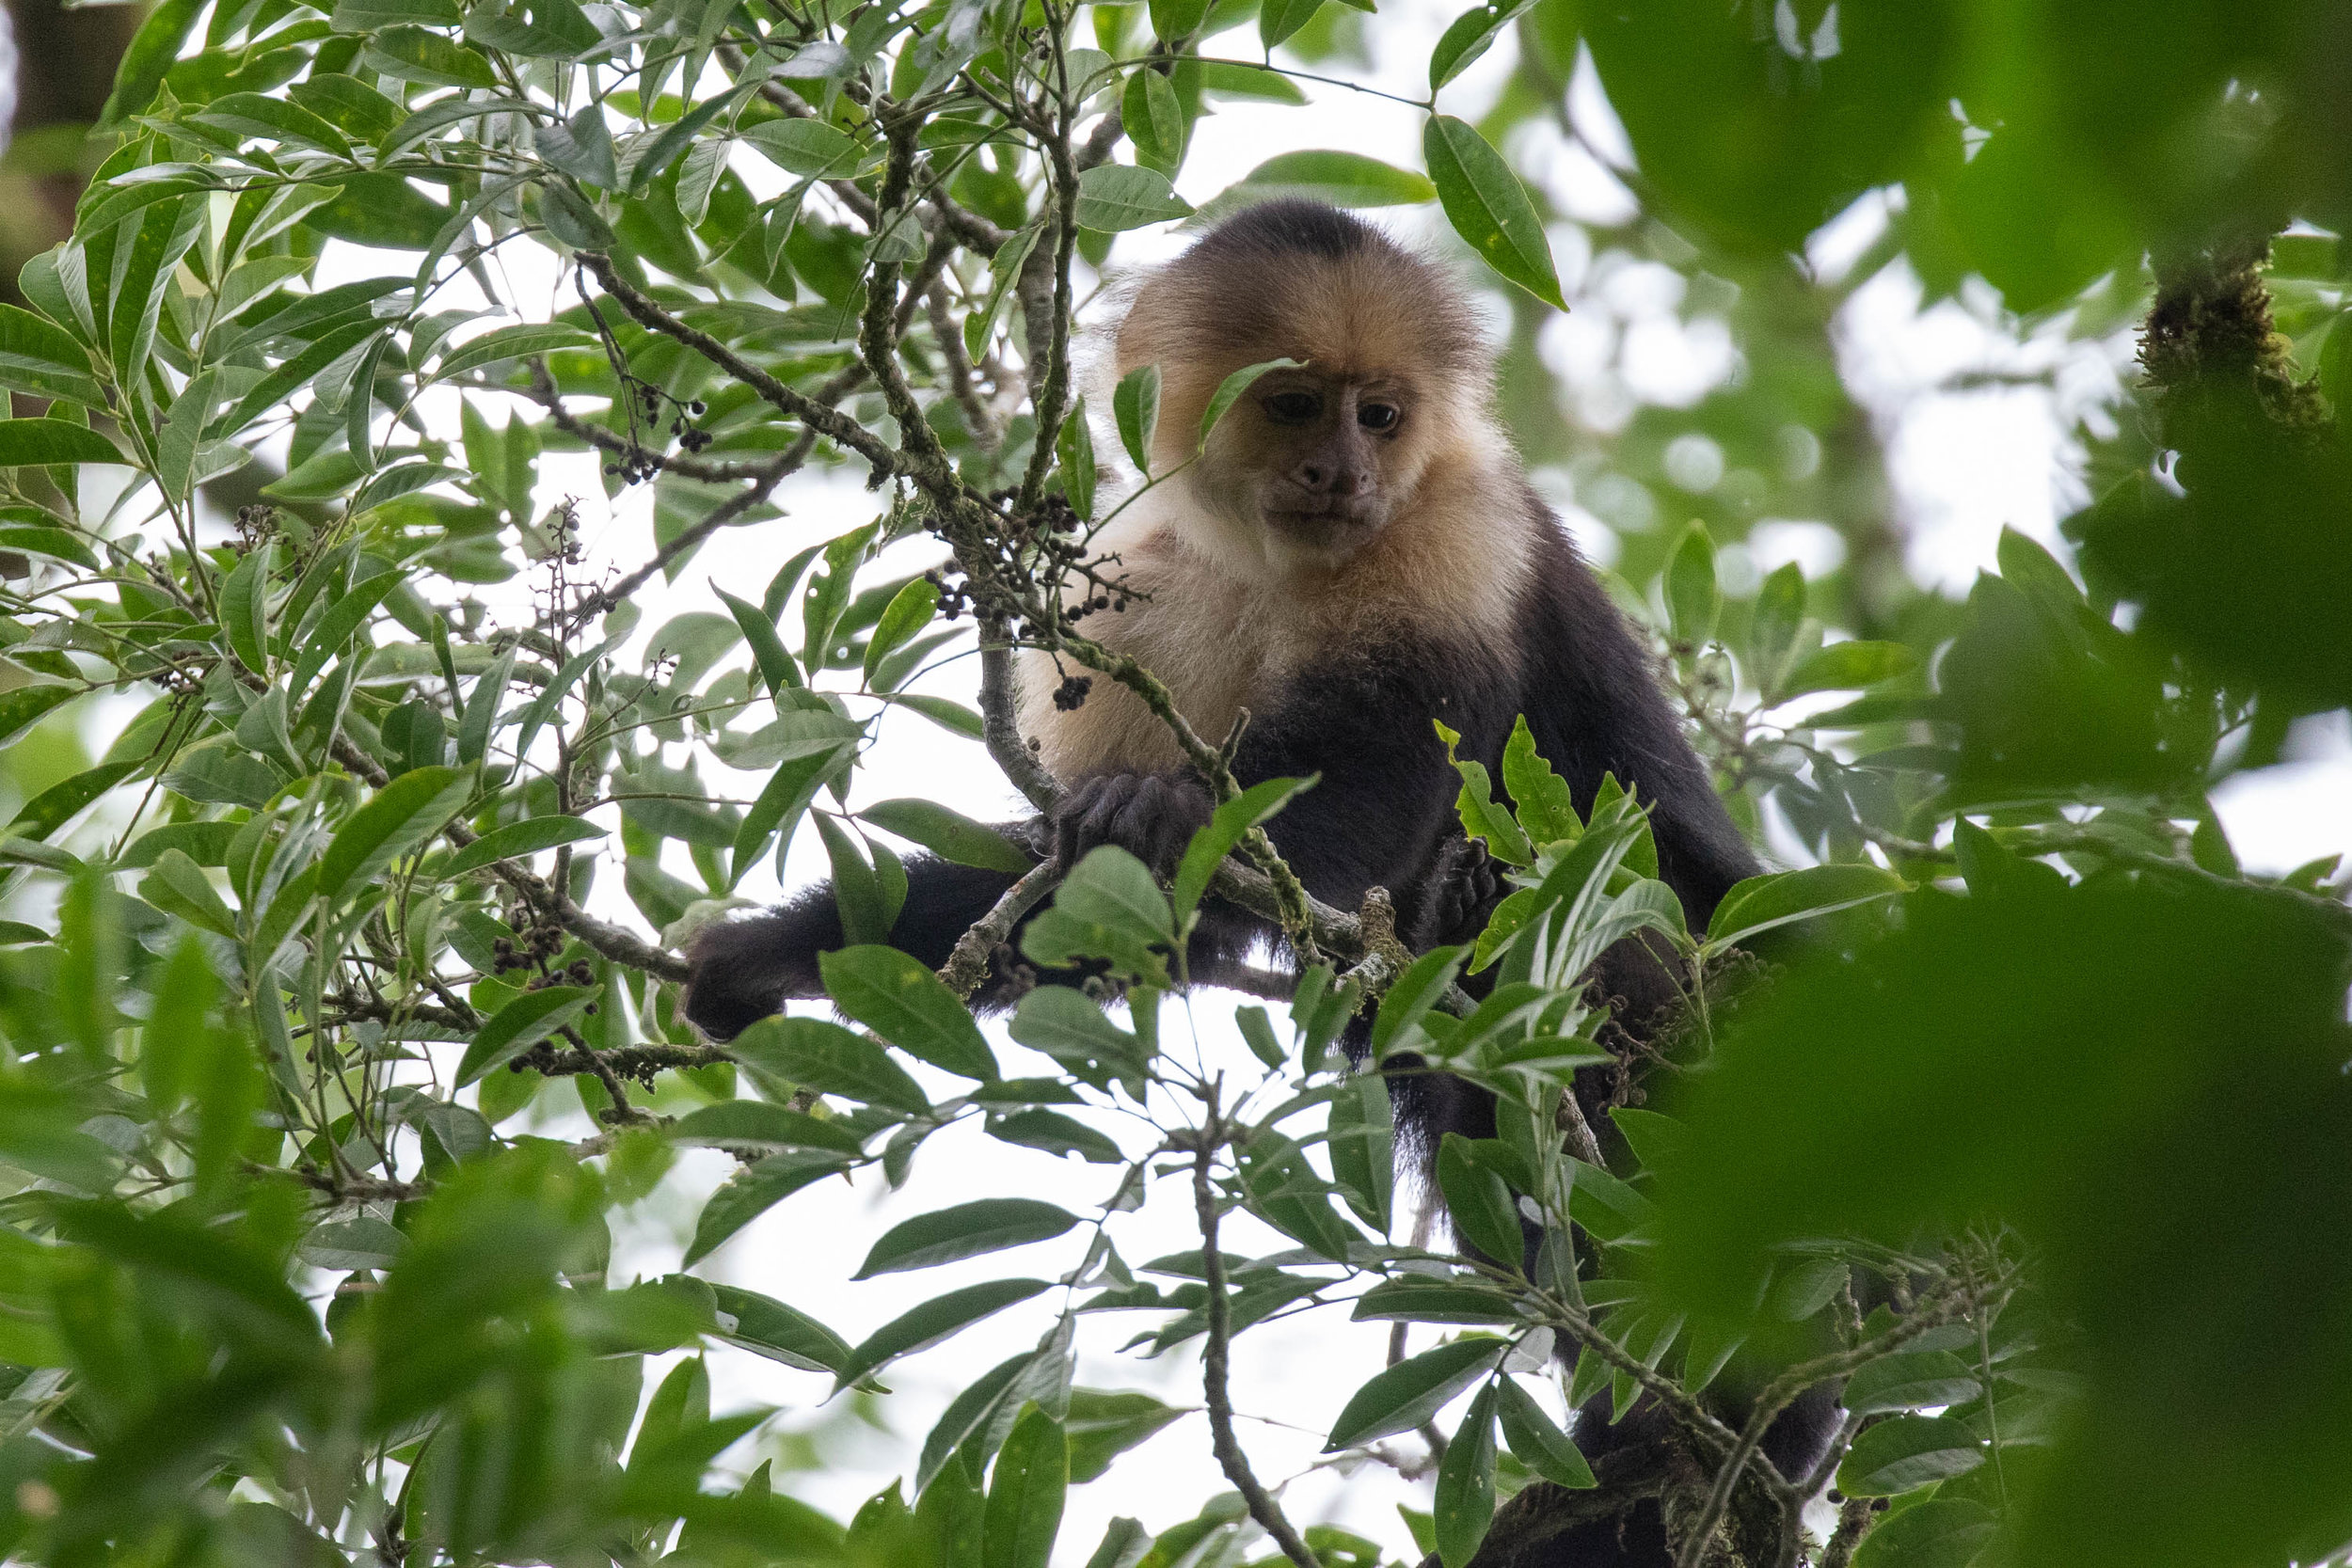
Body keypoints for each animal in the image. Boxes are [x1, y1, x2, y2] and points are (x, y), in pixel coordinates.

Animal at [687, 199, 1825, 1560]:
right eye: (1293, 406)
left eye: (1378, 414)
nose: (1343, 473)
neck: (1271, 562)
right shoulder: (1123, 591)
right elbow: (1118, 917)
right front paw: (776, 951)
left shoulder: (1455, 531)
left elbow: (1368, 800)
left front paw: (1173, 819)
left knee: (1576, 932)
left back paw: (1732, 1422)